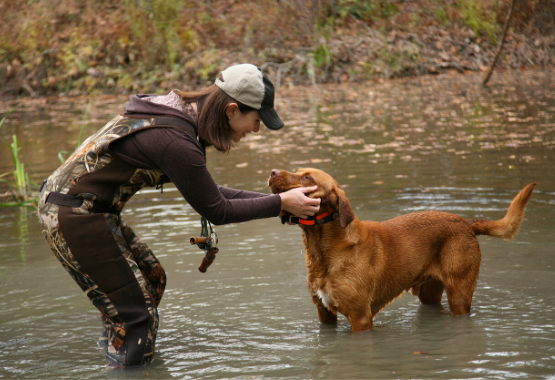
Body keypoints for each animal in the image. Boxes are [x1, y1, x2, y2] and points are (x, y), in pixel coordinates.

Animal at [270, 169, 540, 332]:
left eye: (308, 178)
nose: (273, 172)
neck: (322, 250)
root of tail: (465, 222)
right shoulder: (324, 313)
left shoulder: (360, 317)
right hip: (429, 292)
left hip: (460, 294)